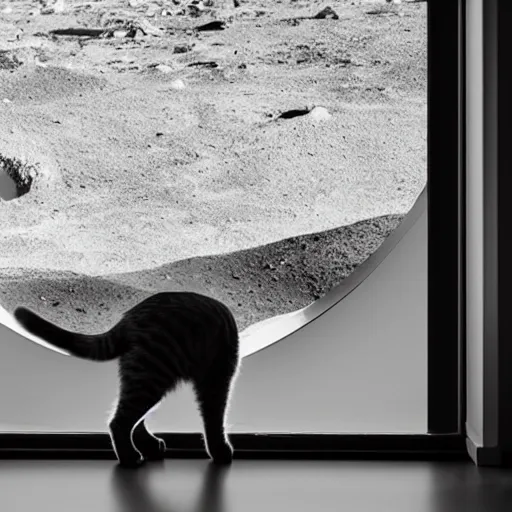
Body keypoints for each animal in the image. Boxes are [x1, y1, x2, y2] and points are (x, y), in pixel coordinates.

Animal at [13, 292, 242, 468]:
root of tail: (129, 316)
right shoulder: (217, 377)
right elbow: (214, 420)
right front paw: (220, 451)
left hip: (146, 376)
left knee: (135, 420)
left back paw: (150, 447)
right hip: (154, 374)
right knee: (120, 422)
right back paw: (130, 458)